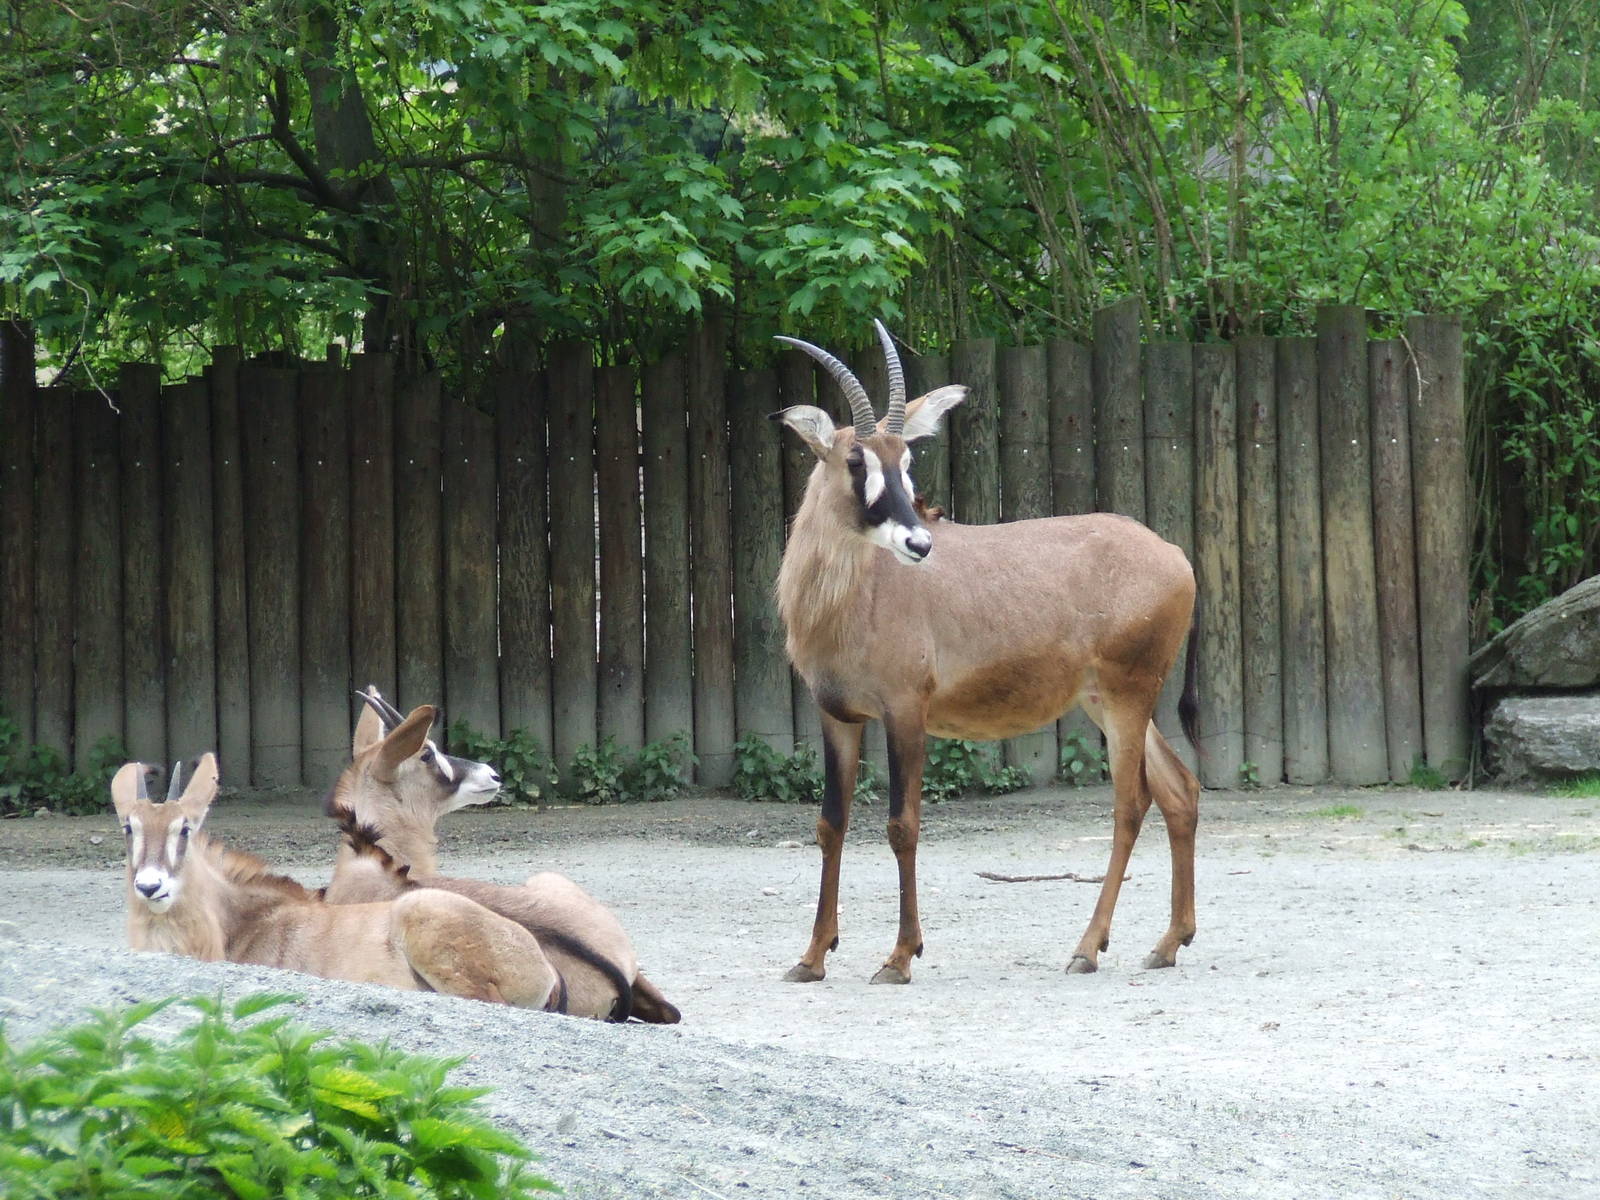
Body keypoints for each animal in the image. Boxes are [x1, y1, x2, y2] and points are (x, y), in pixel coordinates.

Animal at [772, 321, 1200, 984]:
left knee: (1131, 803)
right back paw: (1168, 942)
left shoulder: (906, 712)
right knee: (1179, 790)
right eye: (855, 459)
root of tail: (1175, 556)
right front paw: (812, 957)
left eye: (906, 459)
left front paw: (900, 957)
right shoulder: (837, 716)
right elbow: (830, 824)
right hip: (1106, 701)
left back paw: (1087, 948)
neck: (852, 593)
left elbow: (902, 825)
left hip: (1128, 696)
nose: (919, 542)